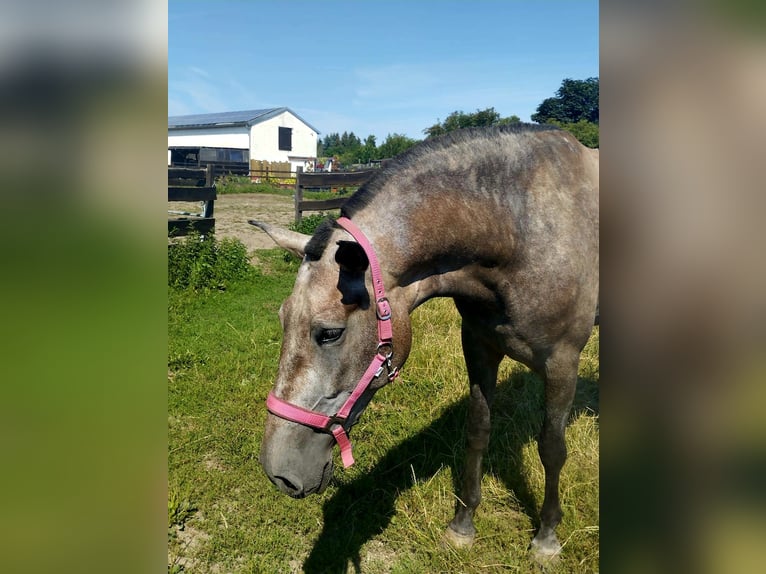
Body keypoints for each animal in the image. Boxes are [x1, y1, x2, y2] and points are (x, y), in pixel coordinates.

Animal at [252, 126, 600, 564]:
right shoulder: (479, 346)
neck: (519, 230)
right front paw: (463, 525)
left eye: (329, 332)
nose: (278, 474)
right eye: (283, 319)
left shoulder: (562, 362)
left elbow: (552, 448)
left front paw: (547, 538)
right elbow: (477, 430)